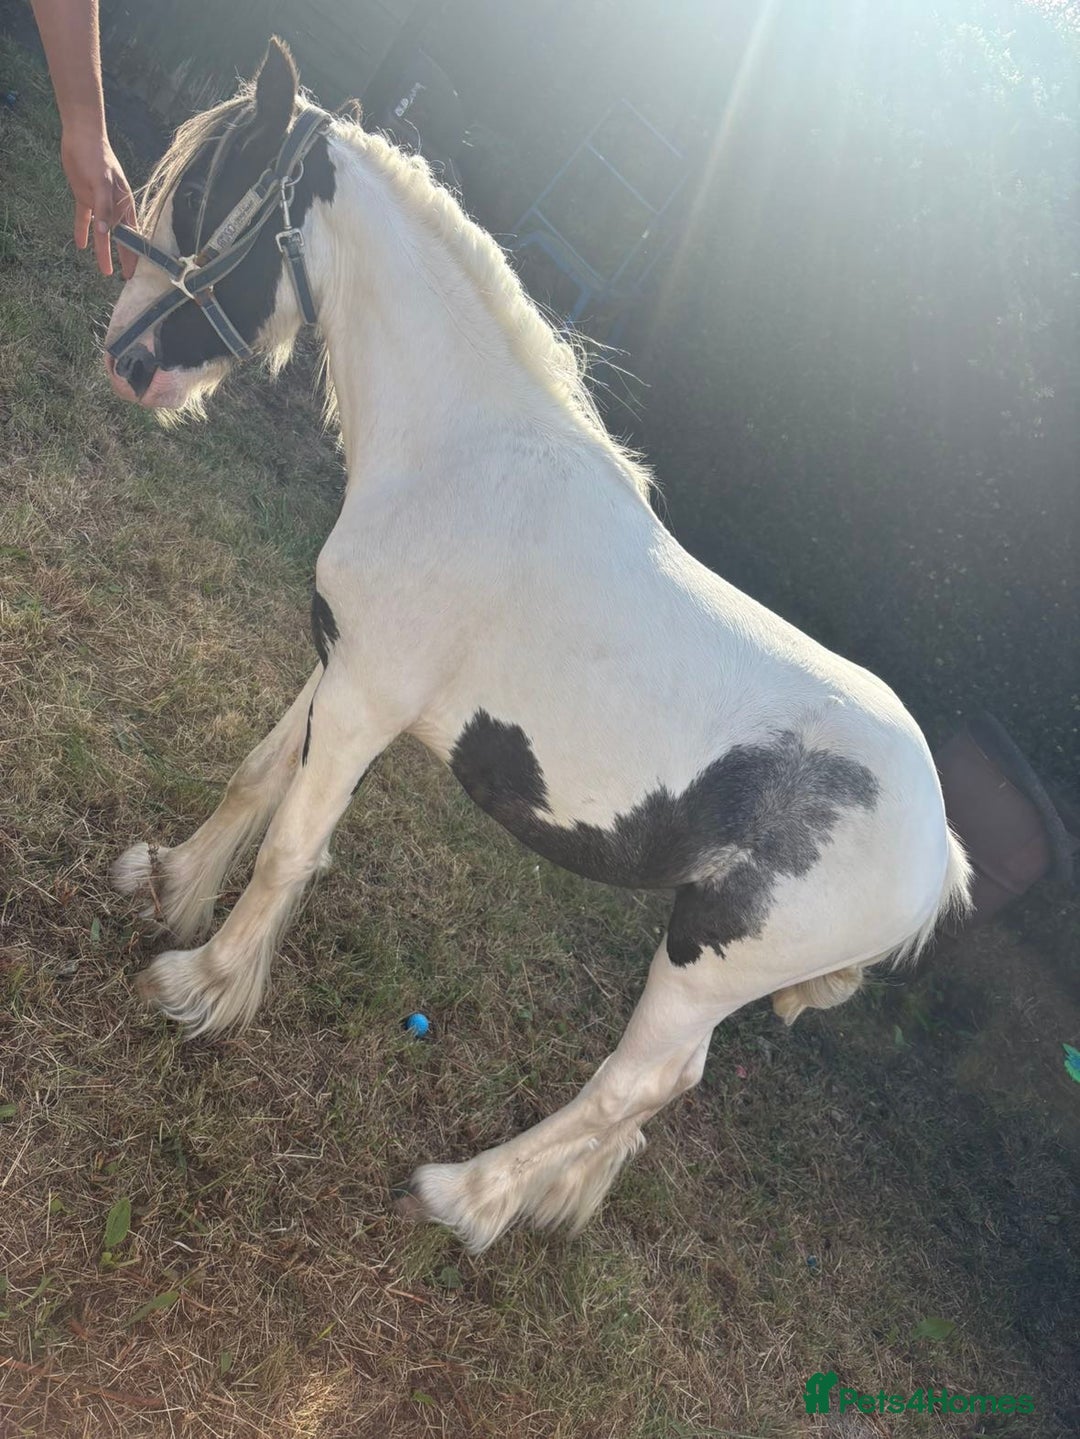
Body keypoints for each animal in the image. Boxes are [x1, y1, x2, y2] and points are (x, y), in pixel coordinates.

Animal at [102, 40, 970, 1252]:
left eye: (203, 188)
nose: (127, 359)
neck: (460, 453)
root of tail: (941, 858)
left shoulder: (364, 701)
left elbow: (290, 848)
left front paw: (198, 983)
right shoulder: (340, 665)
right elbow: (255, 780)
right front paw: (168, 884)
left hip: (702, 961)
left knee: (634, 1082)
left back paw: (463, 1196)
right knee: (660, 1093)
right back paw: (545, 1202)